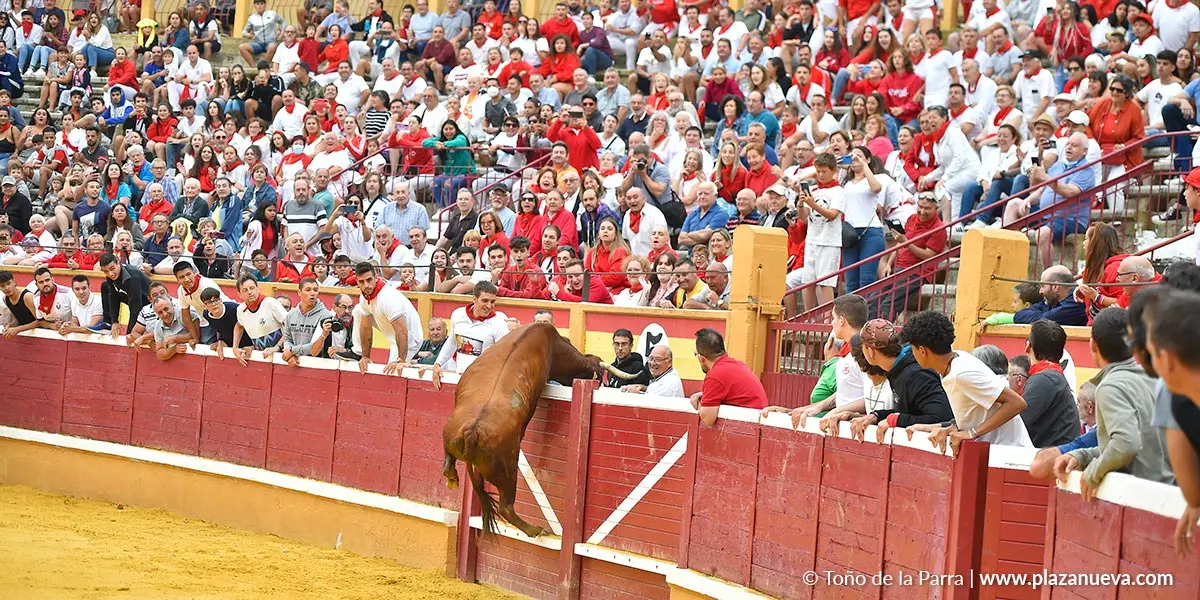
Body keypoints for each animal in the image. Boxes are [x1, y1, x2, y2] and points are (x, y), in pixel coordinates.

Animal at [442, 322, 637, 537]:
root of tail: (472, 432)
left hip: (452, 440)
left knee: (447, 465)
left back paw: (453, 478)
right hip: (508, 470)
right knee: (506, 507)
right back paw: (535, 529)